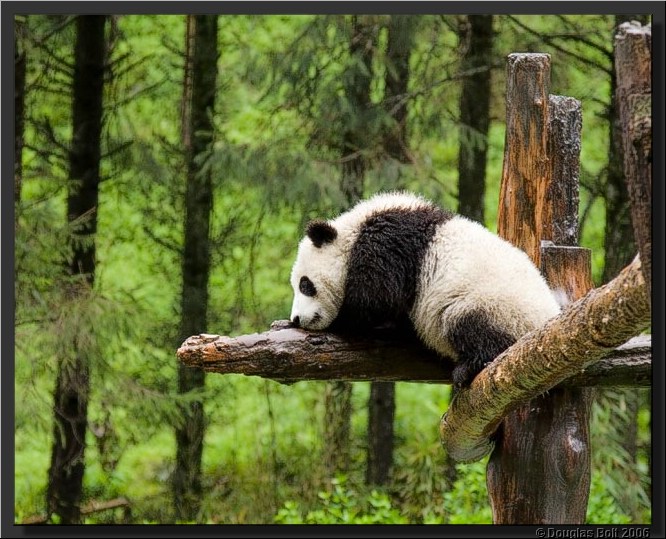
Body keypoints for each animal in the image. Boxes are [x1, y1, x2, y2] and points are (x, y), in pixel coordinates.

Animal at [289, 191, 561, 387]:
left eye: (305, 285)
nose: (296, 319)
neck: (352, 231)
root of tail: (548, 318)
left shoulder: (386, 246)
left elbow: (376, 300)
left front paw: (341, 321)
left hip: (496, 306)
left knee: (471, 325)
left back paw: (468, 368)